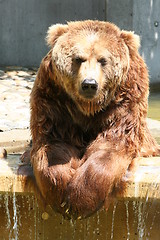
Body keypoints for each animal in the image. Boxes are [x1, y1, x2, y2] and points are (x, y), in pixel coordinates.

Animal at [29, 20, 159, 219]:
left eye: (103, 60)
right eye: (78, 58)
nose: (89, 84)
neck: (88, 108)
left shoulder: (126, 100)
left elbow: (111, 144)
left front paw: (79, 200)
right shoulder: (54, 99)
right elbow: (54, 144)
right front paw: (60, 192)